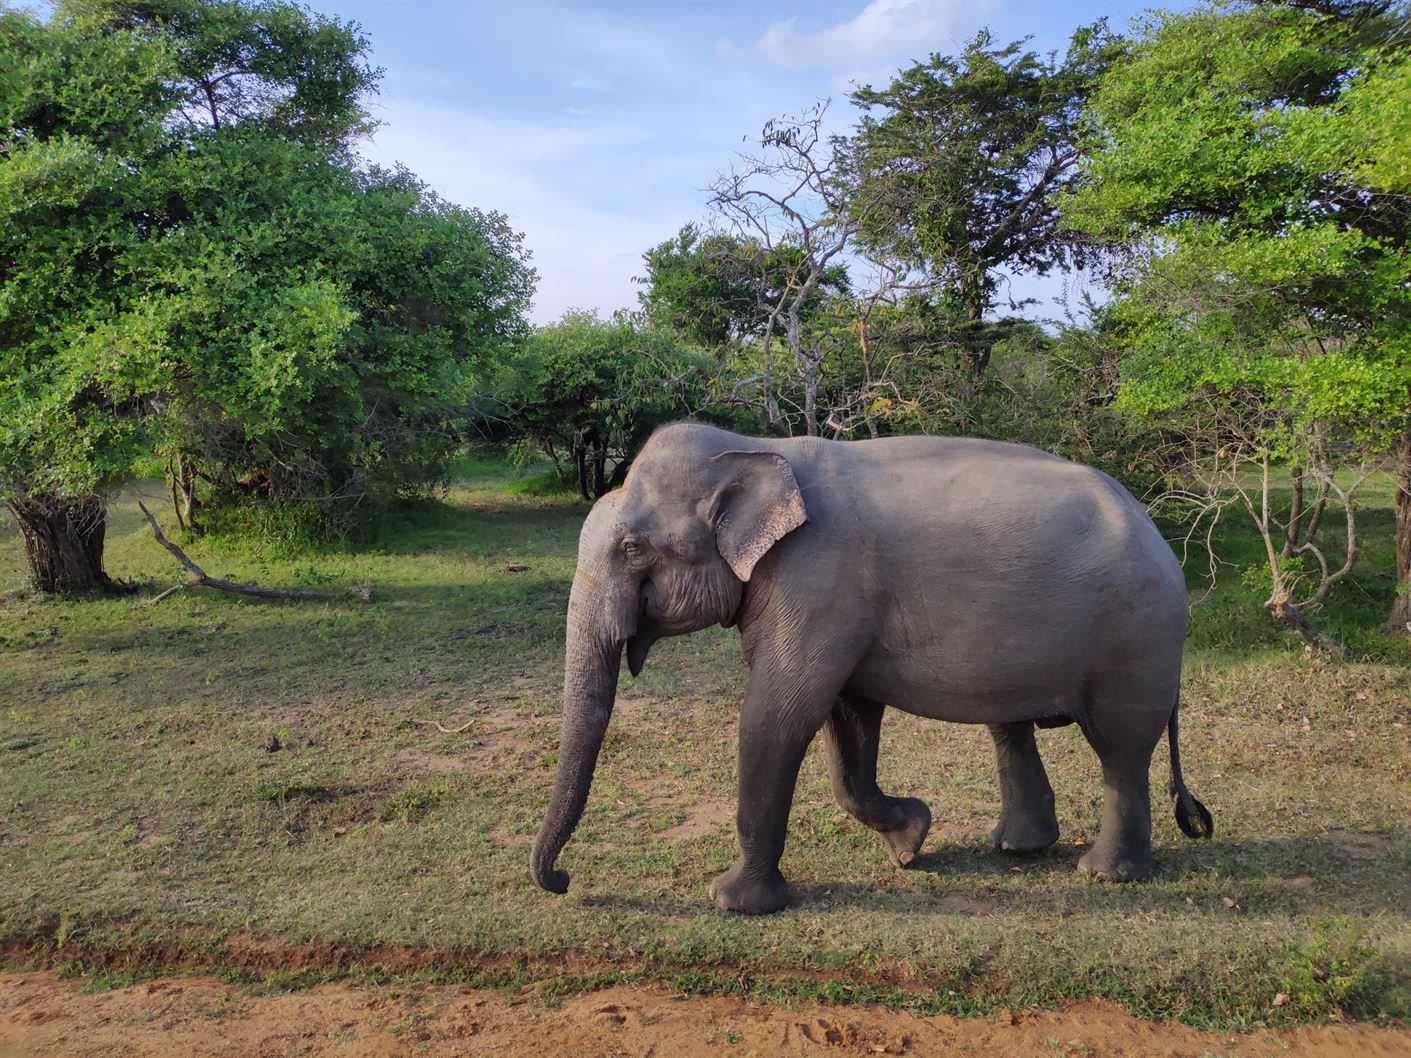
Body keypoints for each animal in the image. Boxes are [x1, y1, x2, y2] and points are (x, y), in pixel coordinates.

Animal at [530, 426, 1213, 914]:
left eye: (631, 549)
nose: (564, 881)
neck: (756, 449)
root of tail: (1157, 534)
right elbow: (848, 715)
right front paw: (911, 842)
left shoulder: (818, 578)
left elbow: (778, 714)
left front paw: (733, 902)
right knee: (1012, 729)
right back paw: (1017, 847)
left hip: (1137, 636)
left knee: (1120, 749)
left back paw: (1104, 875)